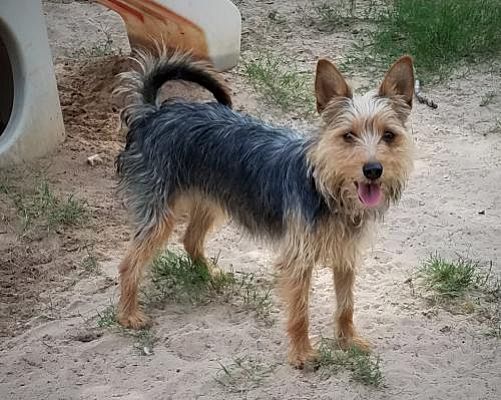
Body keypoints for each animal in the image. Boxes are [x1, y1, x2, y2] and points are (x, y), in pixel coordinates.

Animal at [114, 50, 414, 368]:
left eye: (389, 135)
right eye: (348, 136)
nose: (373, 170)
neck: (326, 190)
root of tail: (153, 114)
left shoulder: (345, 257)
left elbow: (346, 305)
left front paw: (347, 341)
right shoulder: (298, 260)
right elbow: (300, 312)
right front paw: (302, 354)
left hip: (212, 199)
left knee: (190, 239)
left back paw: (208, 275)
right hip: (160, 215)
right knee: (129, 263)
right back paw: (128, 314)